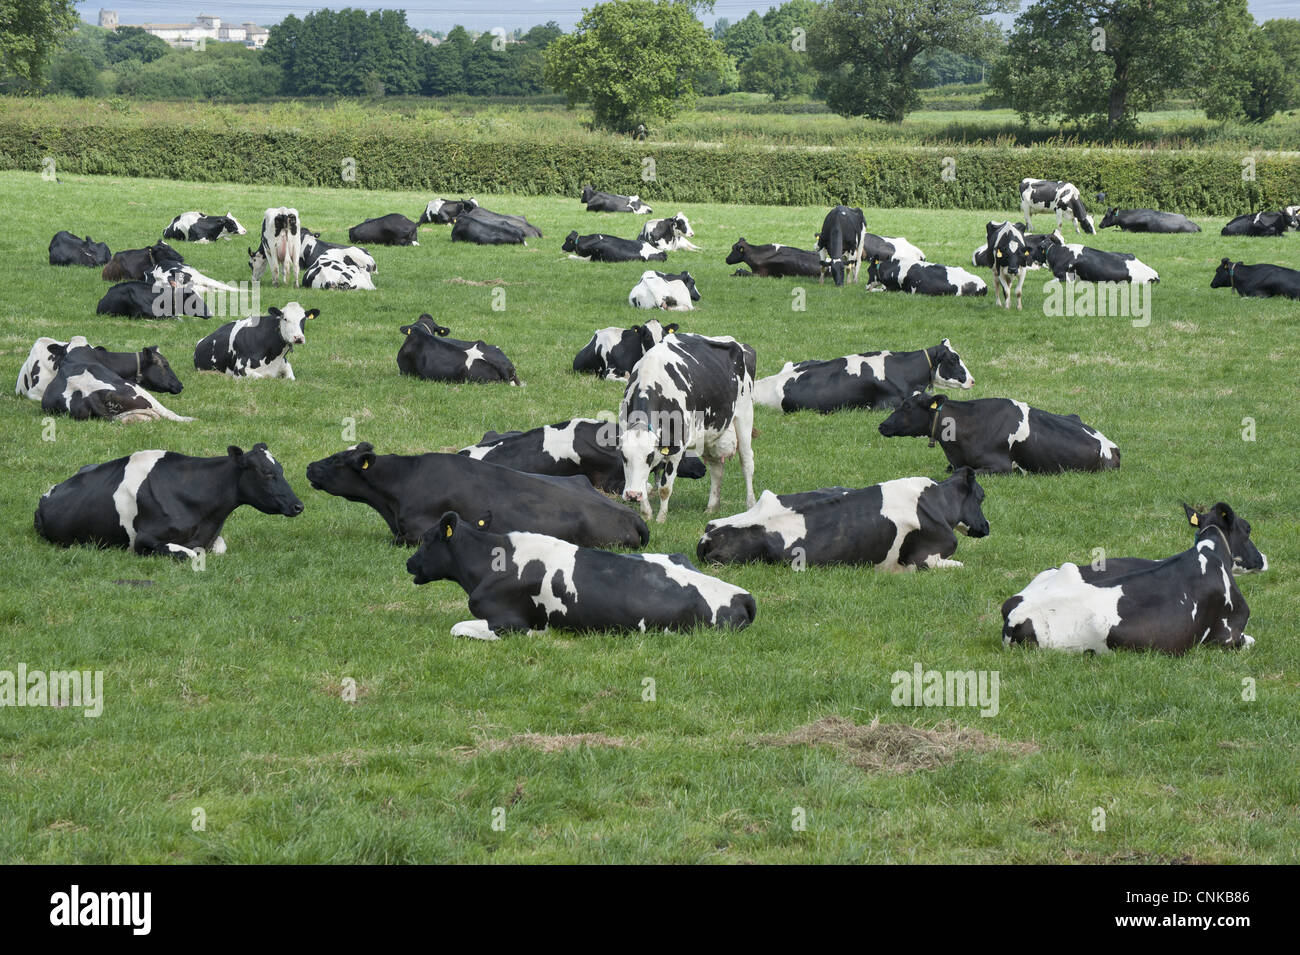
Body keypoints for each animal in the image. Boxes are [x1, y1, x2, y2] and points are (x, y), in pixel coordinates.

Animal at [35, 443, 301, 557]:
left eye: (281, 470)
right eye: (268, 473)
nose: (298, 505)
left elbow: (218, 548)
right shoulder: (144, 540)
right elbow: (192, 554)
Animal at [619, 333, 757, 523]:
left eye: (649, 456)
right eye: (624, 457)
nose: (632, 495)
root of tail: (738, 343)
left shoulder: (677, 448)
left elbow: (665, 488)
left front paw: (661, 519)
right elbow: (644, 481)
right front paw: (646, 514)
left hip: (744, 414)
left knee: (747, 462)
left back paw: (751, 505)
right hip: (708, 432)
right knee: (716, 468)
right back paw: (711, 508)